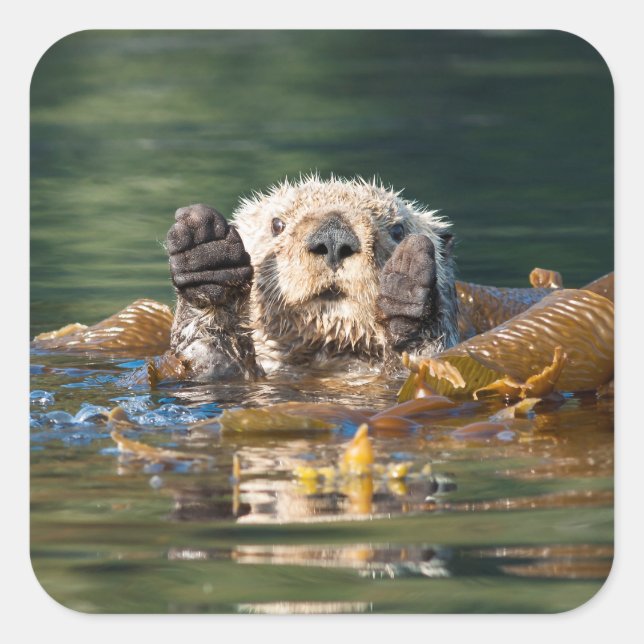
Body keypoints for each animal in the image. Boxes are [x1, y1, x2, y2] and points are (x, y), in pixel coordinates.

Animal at [166, 175, 459, 379]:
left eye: (398, 230)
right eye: (277, 224)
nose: (333, 238)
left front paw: (406, 293)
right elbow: (208, 359)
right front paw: (207, 255)